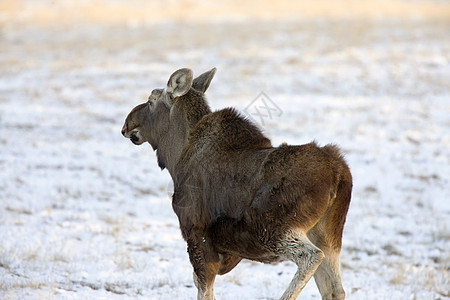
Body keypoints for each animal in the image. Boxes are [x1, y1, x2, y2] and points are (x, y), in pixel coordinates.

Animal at [122, 68, 352, 300]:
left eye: (151, 100)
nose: (126, 125)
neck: (175, 157)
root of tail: (339, 173)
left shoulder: (196, 232)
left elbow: (204, 288)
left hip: (273, 229)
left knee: (311, 257)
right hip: (328, 236)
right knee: (335, 288)